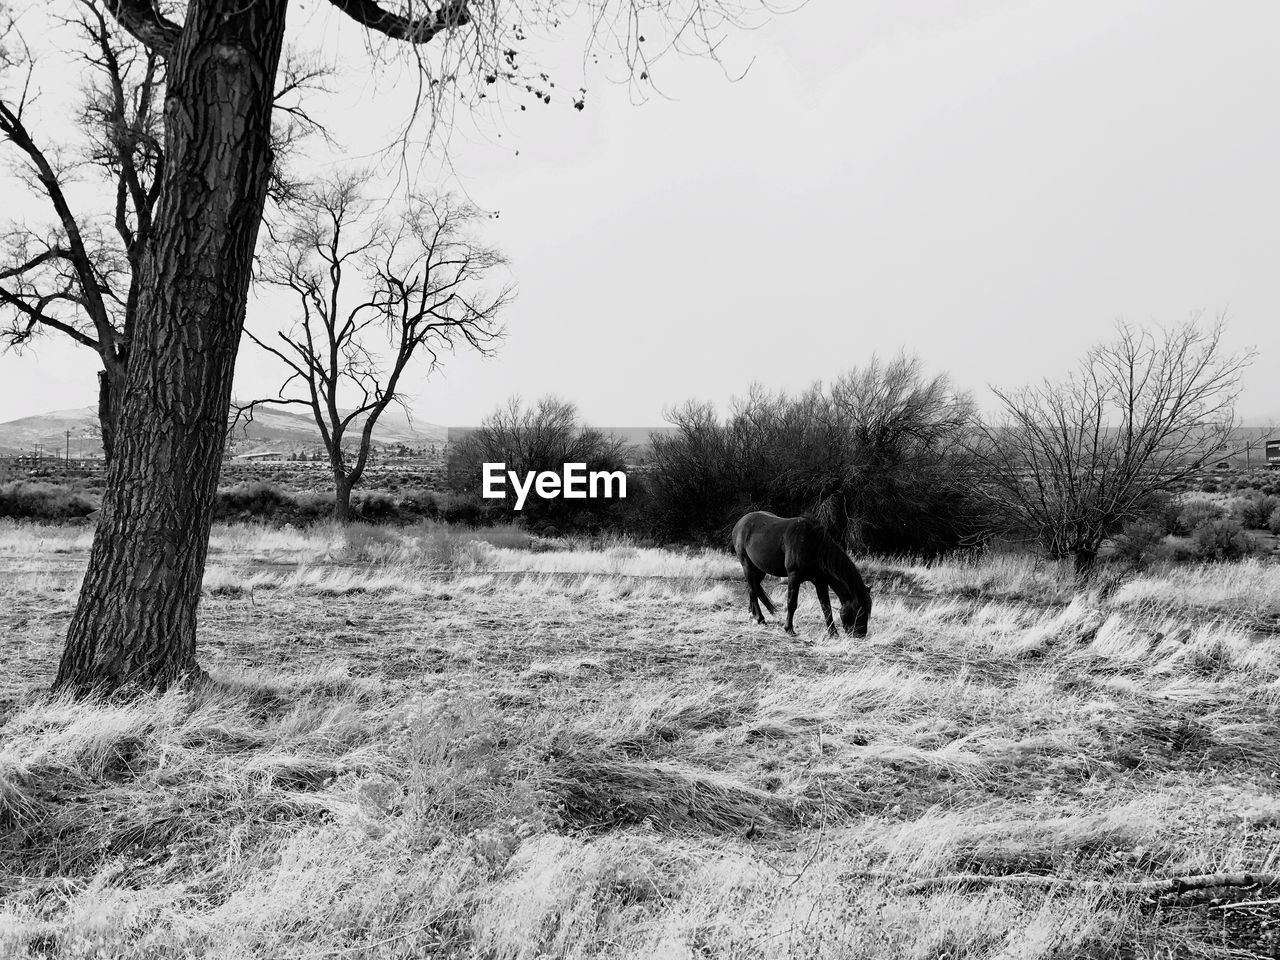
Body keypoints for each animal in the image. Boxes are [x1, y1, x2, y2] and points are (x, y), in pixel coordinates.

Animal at [732, 512, 870, 640]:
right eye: (860, 611)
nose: (861, 635)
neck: (814, 546)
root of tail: (740, 522)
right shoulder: (794, 577)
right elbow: (792, 603)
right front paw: (789, 629)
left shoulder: (820, 582)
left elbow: (826, 607)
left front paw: (833, 633)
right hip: (747, 565)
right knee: (752, 587)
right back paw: (760, 618)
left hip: (760, 569)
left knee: (753, 588)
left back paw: (753, 614)